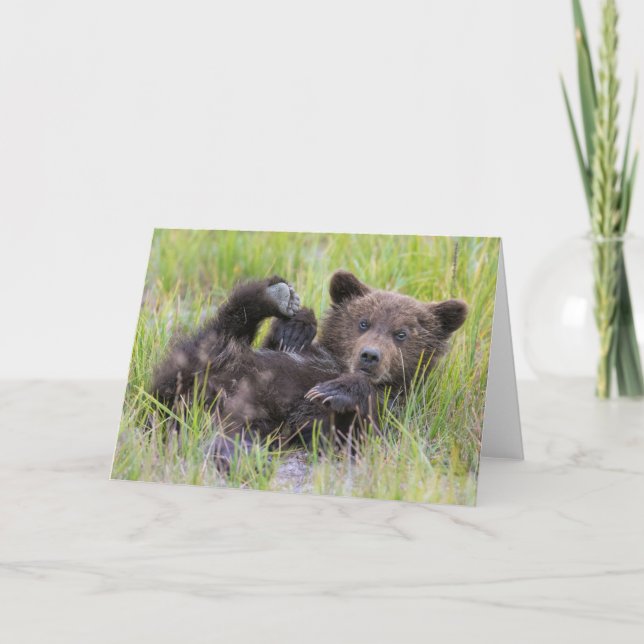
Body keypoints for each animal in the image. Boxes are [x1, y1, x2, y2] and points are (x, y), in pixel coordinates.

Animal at [150, 270, 467, 465]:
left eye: (401, 334)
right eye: (363, 322)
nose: (369, 356)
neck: (337, 363)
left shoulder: (396, 409)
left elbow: (363, 430)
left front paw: (335, 390)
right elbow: (283, 343)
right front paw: (296, 327)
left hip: (249, 416)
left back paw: (238, 456)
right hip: (203, 364)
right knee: (220, 331)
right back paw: (274, 295)